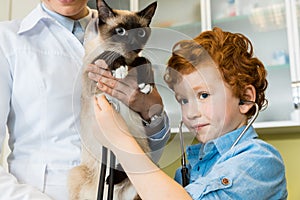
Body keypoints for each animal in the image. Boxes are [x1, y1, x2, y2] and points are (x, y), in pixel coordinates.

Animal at [67, 0, 157, 200]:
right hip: (77, 173)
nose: (132, 44)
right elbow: (107, 55)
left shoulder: (137, 59)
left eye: (140, 33)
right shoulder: (91, 73)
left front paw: (145, 85)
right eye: (120, 31)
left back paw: (112, 179)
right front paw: (120, 69)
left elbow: (144, 60)